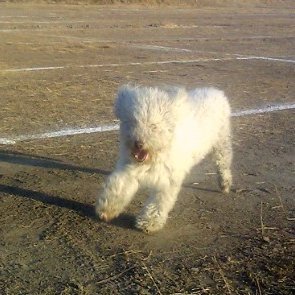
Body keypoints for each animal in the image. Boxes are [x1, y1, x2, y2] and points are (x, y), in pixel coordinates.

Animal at [96, 85, 232, 234]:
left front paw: (149, 223)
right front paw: (107, 209)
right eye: (132, 122)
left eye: (154, 126)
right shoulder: (129, 169)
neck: (155, 156)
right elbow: (118, 186)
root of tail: (215, 91)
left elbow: (158, 203)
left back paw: (225, 184)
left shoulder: (168, 180)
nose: (138, 144)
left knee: (224, 165)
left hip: (222, 144)